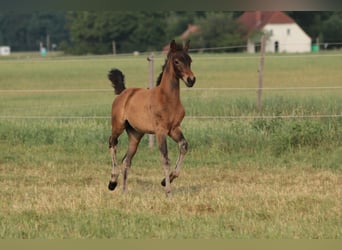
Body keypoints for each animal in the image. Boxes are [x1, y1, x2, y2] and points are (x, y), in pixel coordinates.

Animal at [108, 40, 196, 195]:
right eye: (177, 61)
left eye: (190, 60)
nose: (191, 80)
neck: (167, 99)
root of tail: (124, 92)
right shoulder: (160, 131)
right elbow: (165, 159)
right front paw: (168, 191)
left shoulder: (174, 129)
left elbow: (184, 146)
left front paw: (166, 180)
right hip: (117, 126)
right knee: (112, 143)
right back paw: (112, 181)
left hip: (135, 135)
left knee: (126, 160)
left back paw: (124, 191)